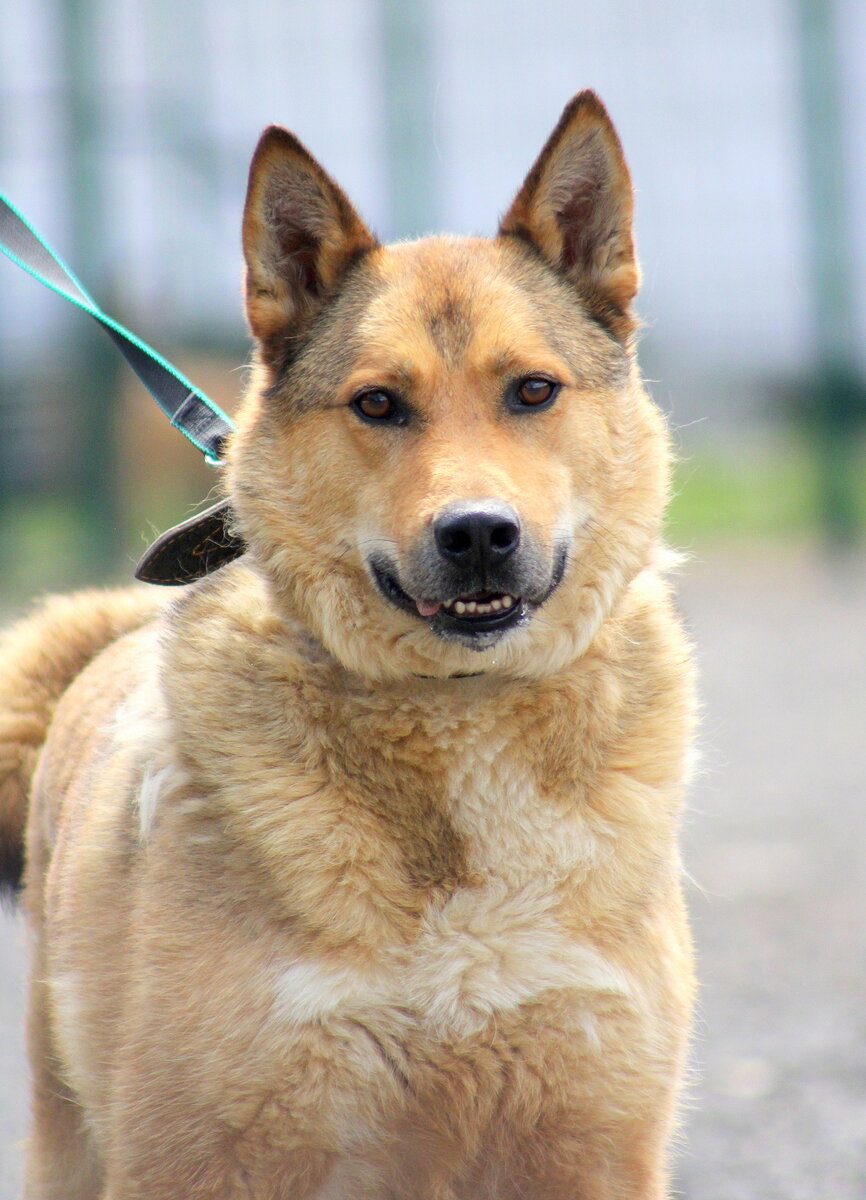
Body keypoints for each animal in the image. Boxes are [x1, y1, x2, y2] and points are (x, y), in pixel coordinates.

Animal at [0, 96, 695, 1200]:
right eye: (377, 403)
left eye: (532, 392)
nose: (477, 533)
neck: (459, 714)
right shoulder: (195, 1157)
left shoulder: (588, 1145)